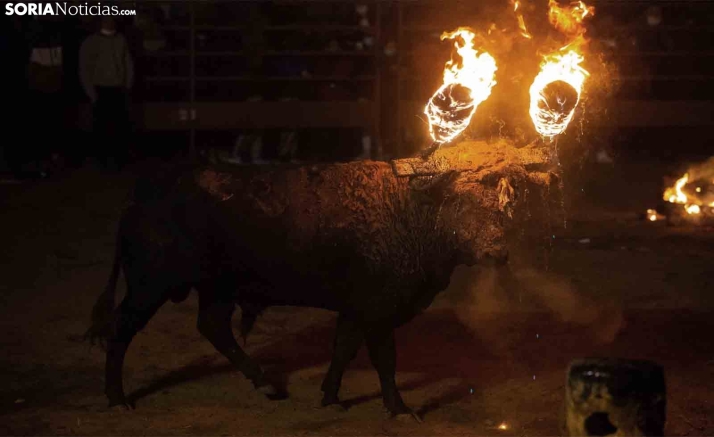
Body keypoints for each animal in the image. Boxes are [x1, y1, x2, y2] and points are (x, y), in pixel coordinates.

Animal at [85, 140, 556, 418]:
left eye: (503, 203)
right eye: (461, 202)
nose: (497, 251)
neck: (409, 212)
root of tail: (142, 199)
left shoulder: (356, 308)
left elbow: (343, 349)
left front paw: (331, 396)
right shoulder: (378, 311)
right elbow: (384, 359)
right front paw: (399, 408)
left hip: (216, 289)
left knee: (213, 327)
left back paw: (264, 382)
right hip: (149, 288)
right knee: (121, 331)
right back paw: (117, 397)